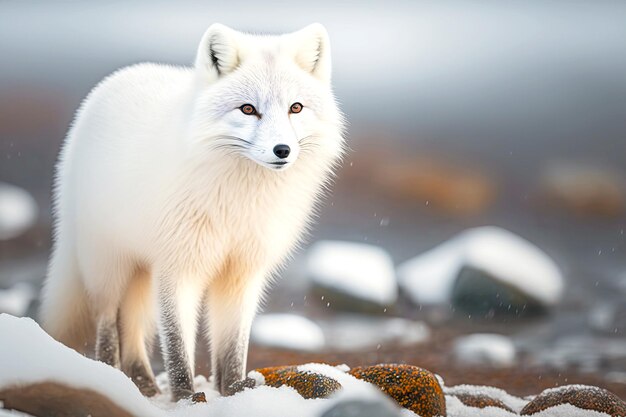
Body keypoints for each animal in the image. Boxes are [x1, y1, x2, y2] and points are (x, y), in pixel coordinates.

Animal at [40, 23, 342, 400]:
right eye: (248, 109)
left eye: (296, 107)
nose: (282, 150)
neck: (238, 203)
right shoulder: (177, 266)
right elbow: (177, 344)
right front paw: (186, 397)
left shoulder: (241, 271)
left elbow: (232, 346)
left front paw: (233, 390)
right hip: (108, 263)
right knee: (108, 322)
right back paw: (110, 374)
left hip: (141, 273)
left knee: (133, 327)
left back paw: (142, 382)